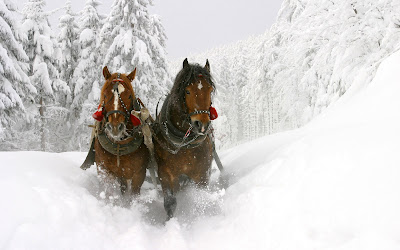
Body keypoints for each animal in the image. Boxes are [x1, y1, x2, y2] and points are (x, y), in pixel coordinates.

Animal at [91, 66, 149, 195]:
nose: (115, 127)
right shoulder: (104, 170)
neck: (119, 145)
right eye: (105, 95)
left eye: (129, 96)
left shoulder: (139, 174)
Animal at [152, 58, 219, 219]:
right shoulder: (166, 174)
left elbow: (201, 199)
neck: (184, 144)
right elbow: (170, 203)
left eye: (210, 90)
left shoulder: (202, 174)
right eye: (187, 91)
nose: (202, 124)